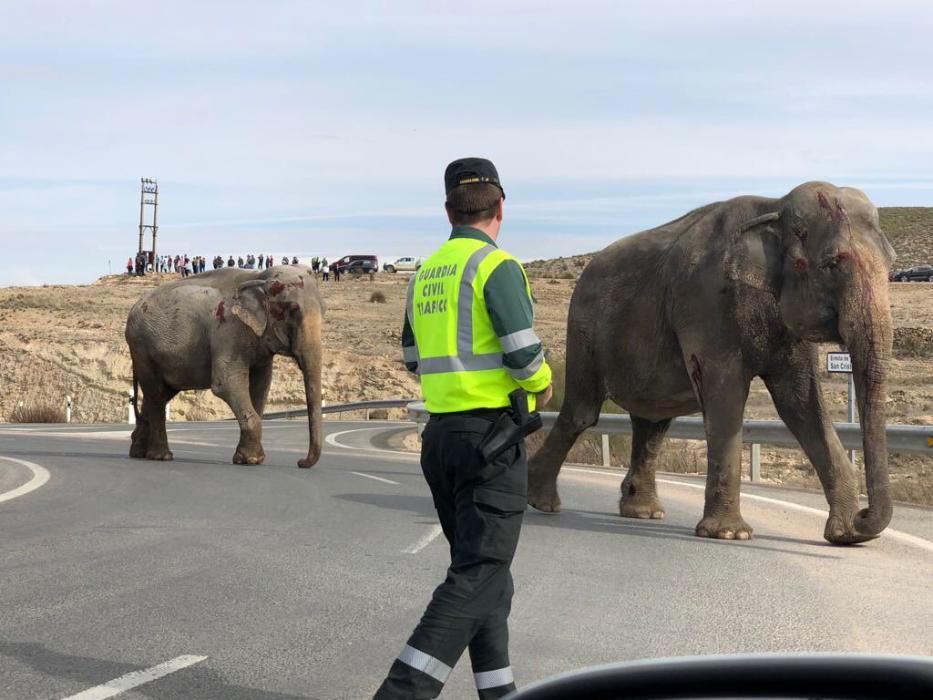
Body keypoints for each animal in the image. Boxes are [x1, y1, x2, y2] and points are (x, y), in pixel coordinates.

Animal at [125, 266, 324, 468]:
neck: (258, 276)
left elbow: (261, 386)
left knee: (160, 394)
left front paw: (250, 458)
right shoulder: (228, 330)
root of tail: (135, 306)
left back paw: (139, 452)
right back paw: (161, 456)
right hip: (142, 349)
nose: (301, 462)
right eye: (293, 309)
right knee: (156, 393)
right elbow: (225, 383)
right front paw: (250, 460)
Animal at [528, 182, 892, 548]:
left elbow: (802, 404)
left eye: (892, 265)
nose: (863, 516)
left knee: (653, 423)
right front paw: (730, 534)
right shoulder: (706, 302)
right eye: (833, 264)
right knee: (583, 412)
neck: (775, 207)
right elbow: (725, 396)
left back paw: (643, 512)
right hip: (583, 329)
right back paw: (541, 501)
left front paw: (845, 536)